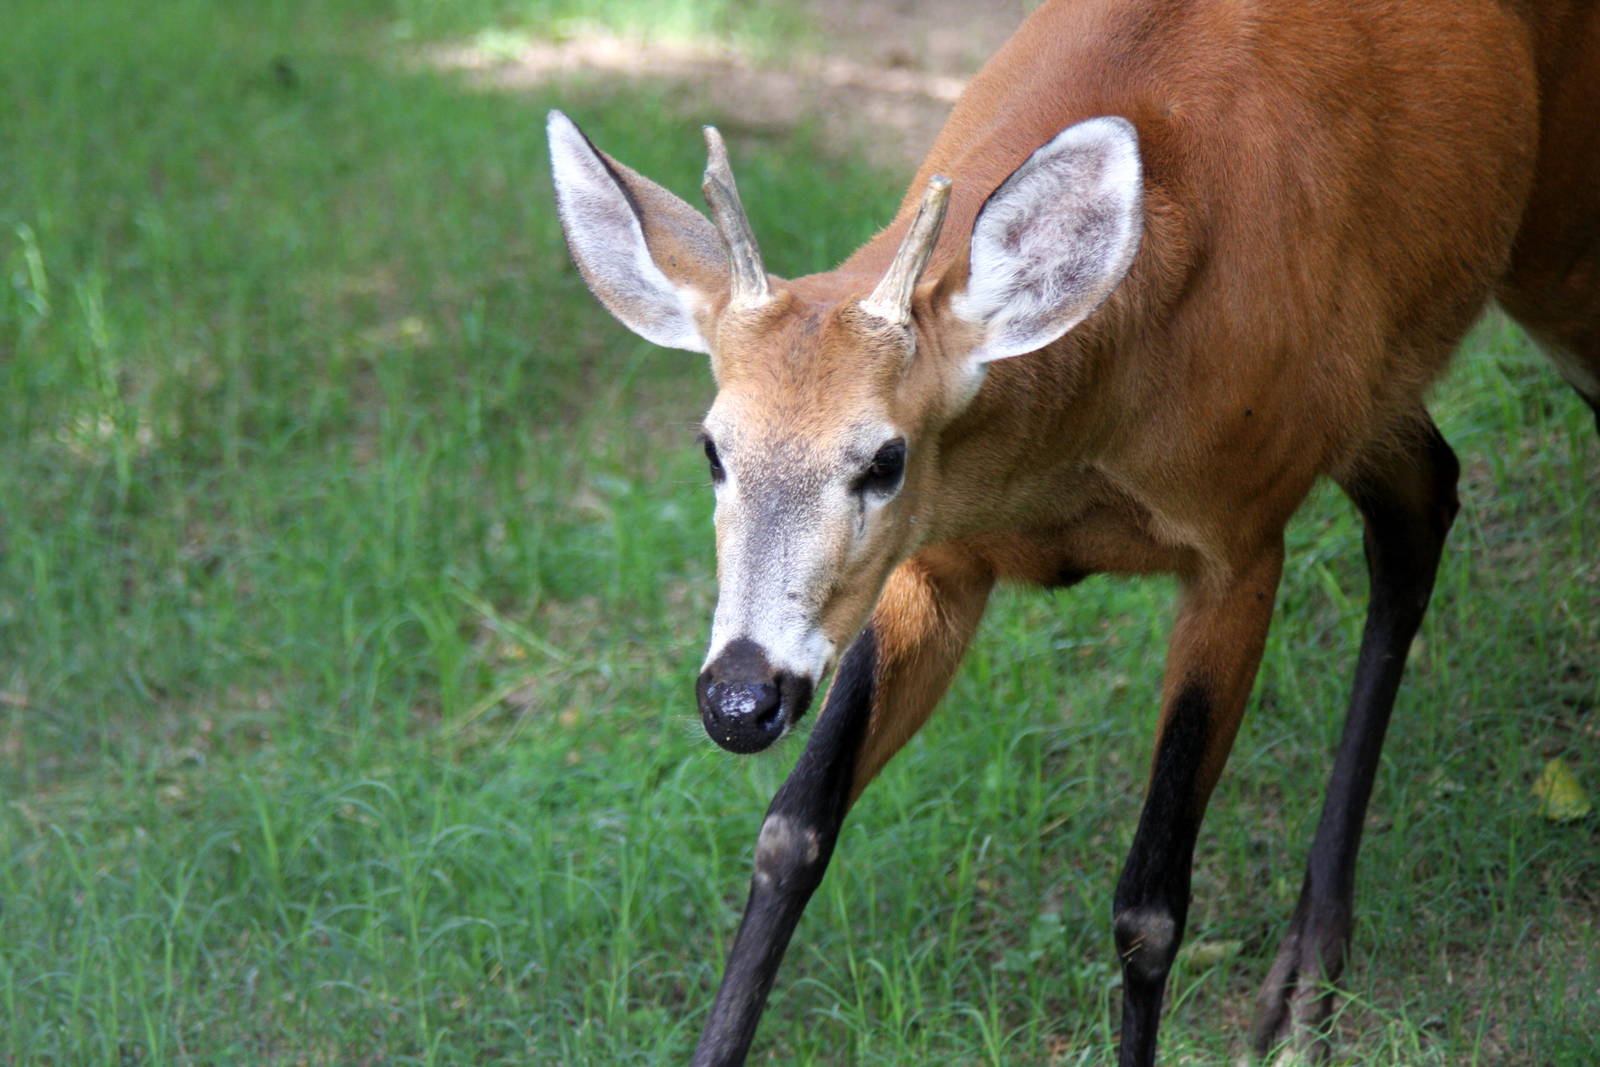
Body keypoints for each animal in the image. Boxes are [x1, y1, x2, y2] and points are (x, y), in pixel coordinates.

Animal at [546, 0, 1600, 1062]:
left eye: (885, 458)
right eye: (712, 447)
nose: (740, 697)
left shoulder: (1240, 538)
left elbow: (1149, 908)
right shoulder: (937, 563)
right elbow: (792, 829)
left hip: (1554, 250)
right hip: (1366, 392)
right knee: (1424, 500)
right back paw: (1309, 975)